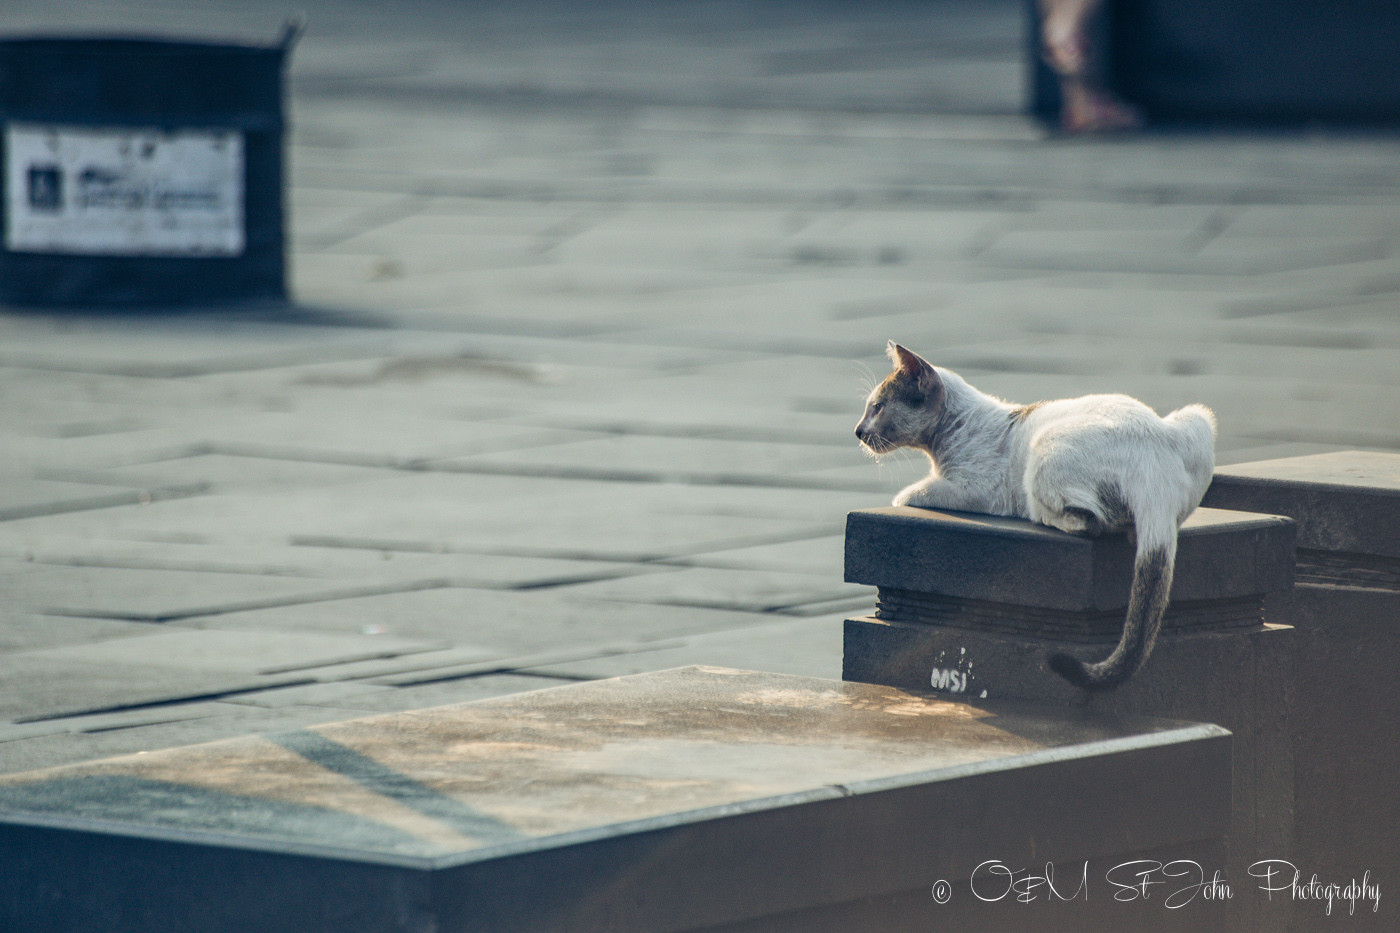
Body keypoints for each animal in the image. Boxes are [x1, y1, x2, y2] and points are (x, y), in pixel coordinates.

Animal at [845, 337, 1220, 686]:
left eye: (877, 407)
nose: (858, 431)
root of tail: (1153, 458)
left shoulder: (976, 489)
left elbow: (910, 494)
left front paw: (905, 495)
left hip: (1045, 449)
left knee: (1090, 521)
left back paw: (1041, 514)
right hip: (1198, 418)